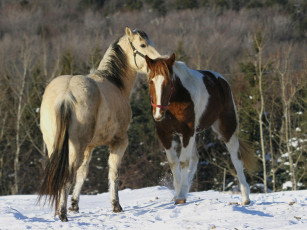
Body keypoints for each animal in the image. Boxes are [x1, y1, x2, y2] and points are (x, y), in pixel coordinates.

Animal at [38, 27, 161, 221]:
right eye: (142, 45)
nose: (159, 63)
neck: (115, 83)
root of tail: (66, 94)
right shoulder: (119, 142)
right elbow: (113, 173)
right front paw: (116, 205)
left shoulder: (89, 147)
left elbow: (82, 175)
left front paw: (75, 205)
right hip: (75, 148)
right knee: (66, 175)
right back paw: (63, 214)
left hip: (55, 146)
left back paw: (59, 210)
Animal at [146, 53, 258, 205]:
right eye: (151, 81)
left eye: (168, 82)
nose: (158, 114)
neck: (177, 99)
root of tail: (220, 80)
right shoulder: (165, 134)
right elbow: (174, 163)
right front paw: (178, 193)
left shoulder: (187, 132)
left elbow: (183, 161)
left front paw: (180, 196)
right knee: (195, 159)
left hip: (227, 129)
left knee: (236, 158)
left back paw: (245, 198)